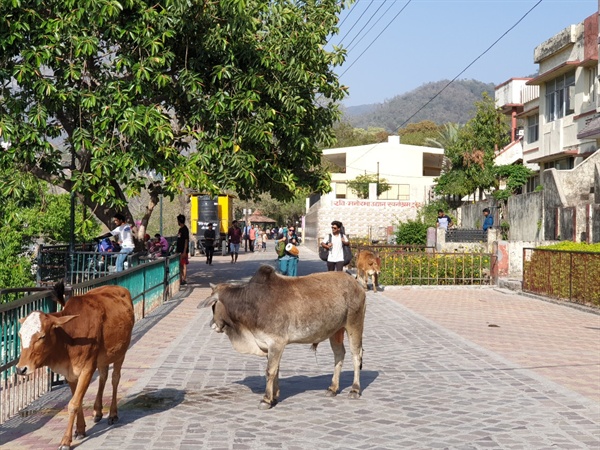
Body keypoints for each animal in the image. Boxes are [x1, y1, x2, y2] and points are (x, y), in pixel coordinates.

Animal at [16, 284, 134, 448]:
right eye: (20, 335)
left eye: (42, 336)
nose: (21, 369)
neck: (69, 338)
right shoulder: (70, 373)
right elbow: (77, 400)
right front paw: (80, 429)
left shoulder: (87, 368)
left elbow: (73, 404)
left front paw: (66, 440)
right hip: (103, 358)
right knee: (103, 377)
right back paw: (98, 411)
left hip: (120, 353)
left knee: (115, 379)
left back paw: (112, 414)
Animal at [199, 266, 366, 410]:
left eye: (213, 306)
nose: (212, 324)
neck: (252, 304)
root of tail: (356, 283)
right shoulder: (270, 346)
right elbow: (276, 370)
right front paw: (274, 396)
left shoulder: (276, 343)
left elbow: (270, 371)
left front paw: (266, 400)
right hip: (336, 331)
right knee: (339, 355)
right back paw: (332, 388)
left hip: (354, 325)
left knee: (356, 355)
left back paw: (355, 390)